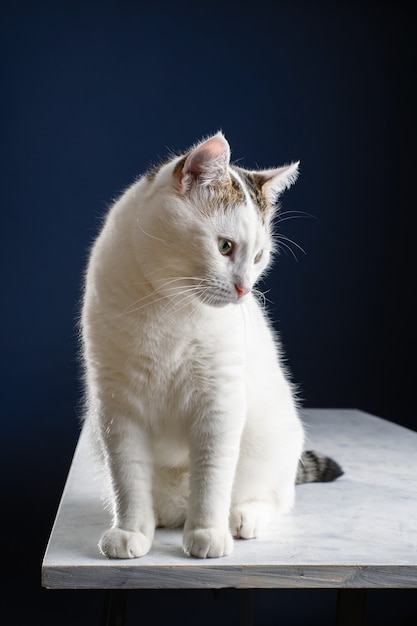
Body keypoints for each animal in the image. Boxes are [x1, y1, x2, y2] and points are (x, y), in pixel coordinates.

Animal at [80, 133, 332, 560]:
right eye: (225, 246)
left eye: (259, 256)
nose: (244, 289)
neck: (168, 305)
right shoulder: (117, 407)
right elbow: (127, 477)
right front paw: (131, 530)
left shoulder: (219, 402)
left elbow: (212, 476)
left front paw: (207, 532)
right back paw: (158, 517)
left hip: (274, 442)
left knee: (276, 497)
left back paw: (243, 517)